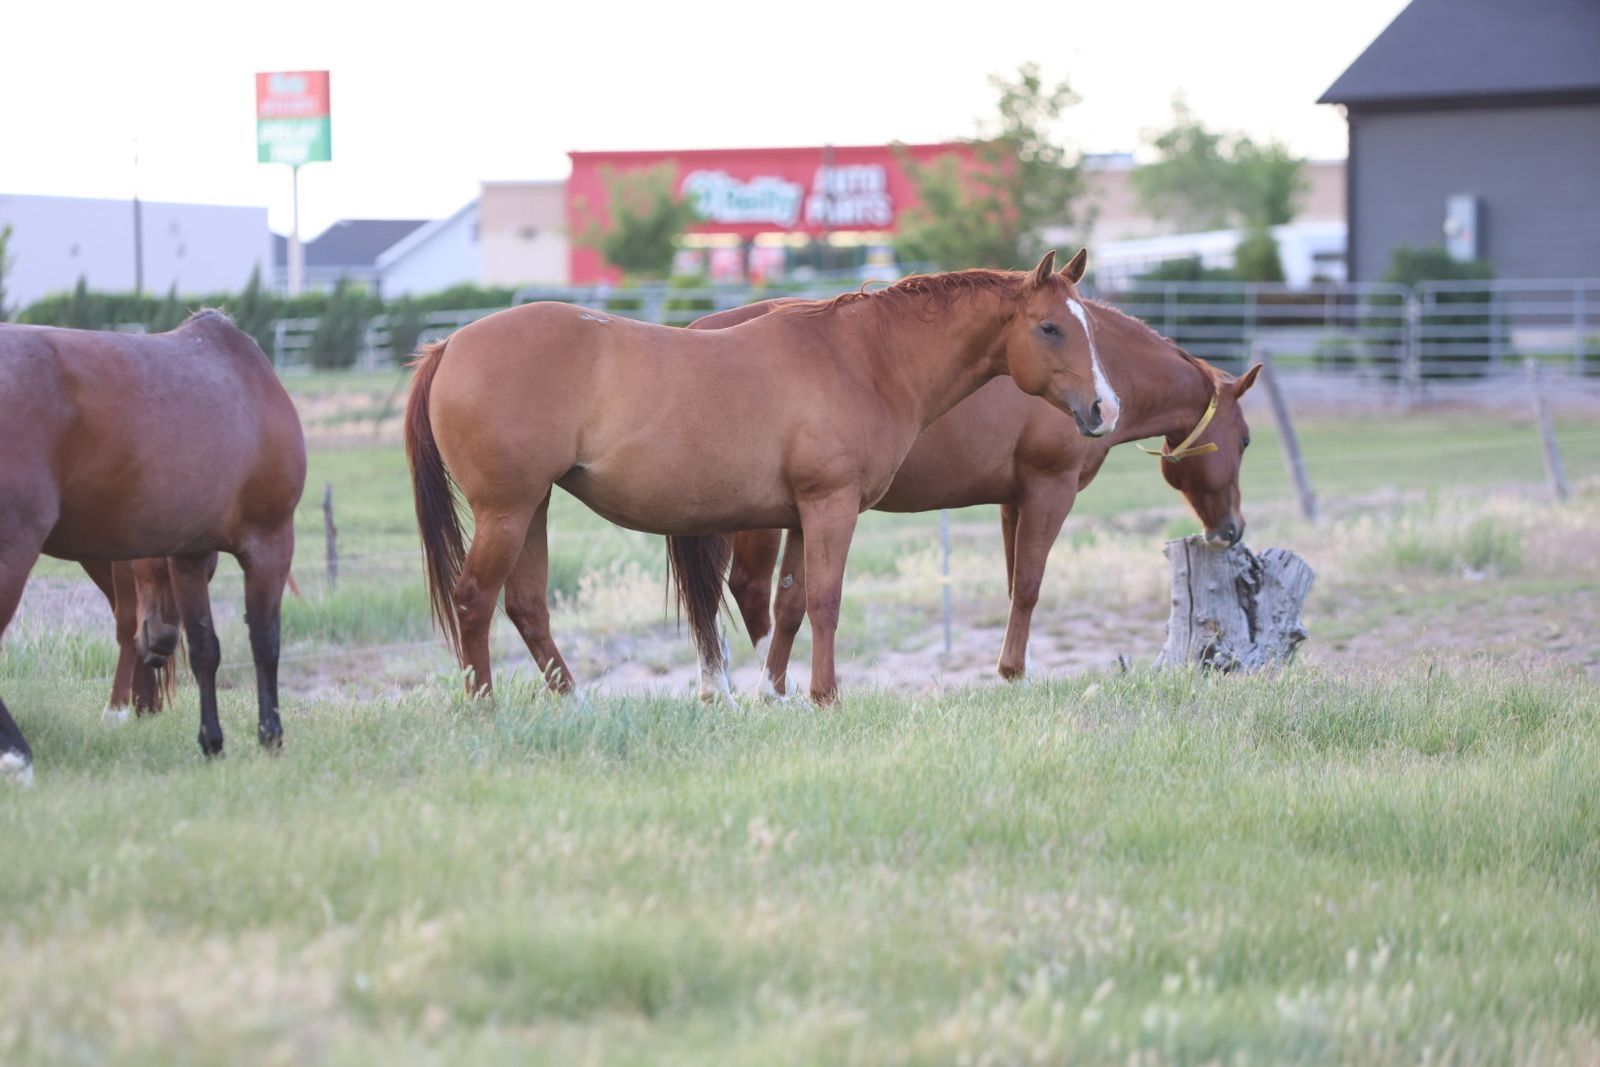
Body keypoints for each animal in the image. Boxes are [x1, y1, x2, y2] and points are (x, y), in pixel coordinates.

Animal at [0, 310, 306, 784]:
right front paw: (270, 738)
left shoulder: (189, 555)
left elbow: (205, 648)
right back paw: (16, 757)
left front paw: (213, 744)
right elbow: (265, 642)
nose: (158, 641)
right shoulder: (271, 543)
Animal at [406, 250, 1119, 705]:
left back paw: (573, 702)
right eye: (1050, 327)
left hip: (532, 510)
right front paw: (826, 697)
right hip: (506, 510)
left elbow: (790, 605)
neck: (864, 358)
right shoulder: (831, 506)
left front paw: (778, 697)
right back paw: (484, 707)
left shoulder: (801, 516)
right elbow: (825, 601)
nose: (1104, 410)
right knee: (474, 600)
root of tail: (450, 345)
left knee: (526, 607)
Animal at [690, 296, 1260, 692]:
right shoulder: (1050, 489)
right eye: (1246, 439)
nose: (1232, 530)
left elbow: (1012, 584)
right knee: (748, 592)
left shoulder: (1014, 499)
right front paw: (1014, 674)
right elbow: (1028, 585)